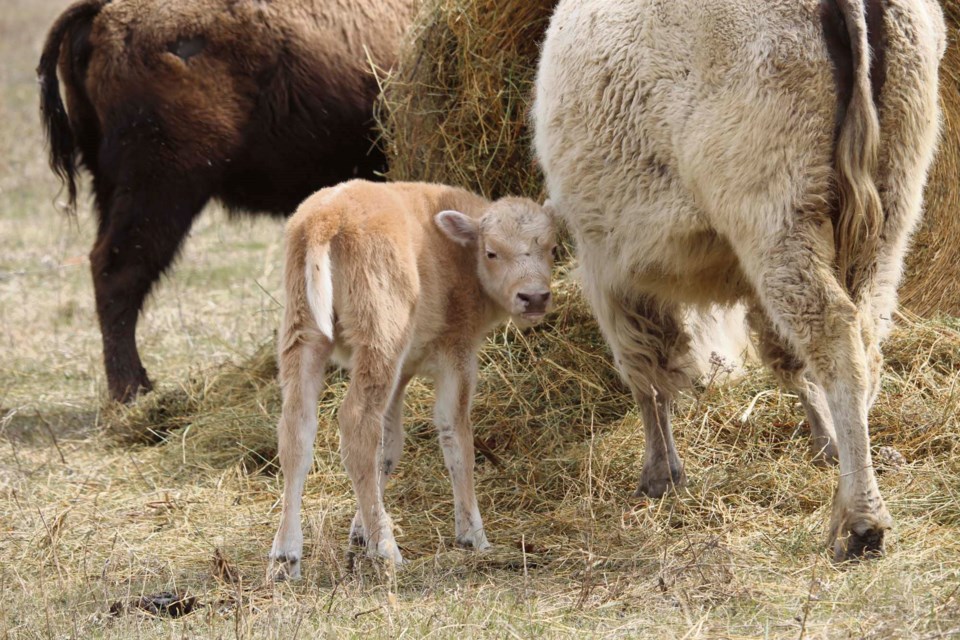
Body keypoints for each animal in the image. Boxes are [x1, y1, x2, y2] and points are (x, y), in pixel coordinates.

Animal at [266, 181, 560, 580]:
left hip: (305, 335)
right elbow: (456, 435)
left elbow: (388, 449)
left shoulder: (402, 373)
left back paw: (286, 557)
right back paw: (388, 550)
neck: (456, 253)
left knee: (297, 428)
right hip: (381, 338)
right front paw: (473, 536)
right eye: (492, 252)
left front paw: (359, 533)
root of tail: (327, 217)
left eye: (552, 248)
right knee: (357, 424)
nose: (534, 297)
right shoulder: (457, 355)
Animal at [532, 0, 944, 560]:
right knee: (865, 342)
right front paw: (824, 442)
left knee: (833, 336)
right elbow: (785, 359)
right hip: (889, 212)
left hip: (777, 215)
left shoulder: (610, 268)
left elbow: (647, 371)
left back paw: (860, 522)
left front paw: (660, 475)